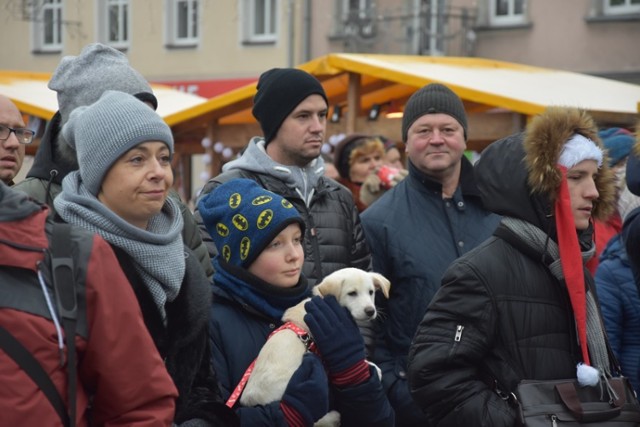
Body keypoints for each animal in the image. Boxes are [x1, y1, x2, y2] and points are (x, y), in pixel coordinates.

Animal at [239, 268, 390, 424]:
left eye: (371, 292)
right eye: (352, 293)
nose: (371, 311)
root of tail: (249, 399)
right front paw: (373, 367)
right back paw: (333, 417)